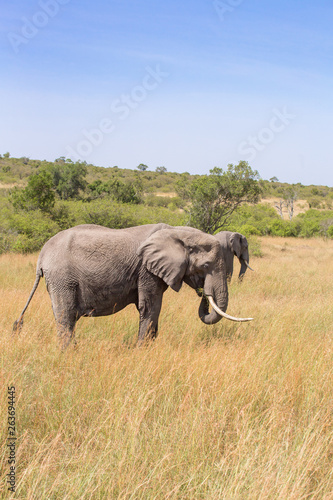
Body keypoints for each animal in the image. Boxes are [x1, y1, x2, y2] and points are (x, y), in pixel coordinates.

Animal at [13, 223, 252, 348]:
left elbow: (150, 309)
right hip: (62, 278)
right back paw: (69, 352)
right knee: (66, 316)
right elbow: (151, 307)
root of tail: (42, 255)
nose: (203, 291)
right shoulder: (146, 271)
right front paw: (143, 350)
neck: (178, 232)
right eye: (205, 266)